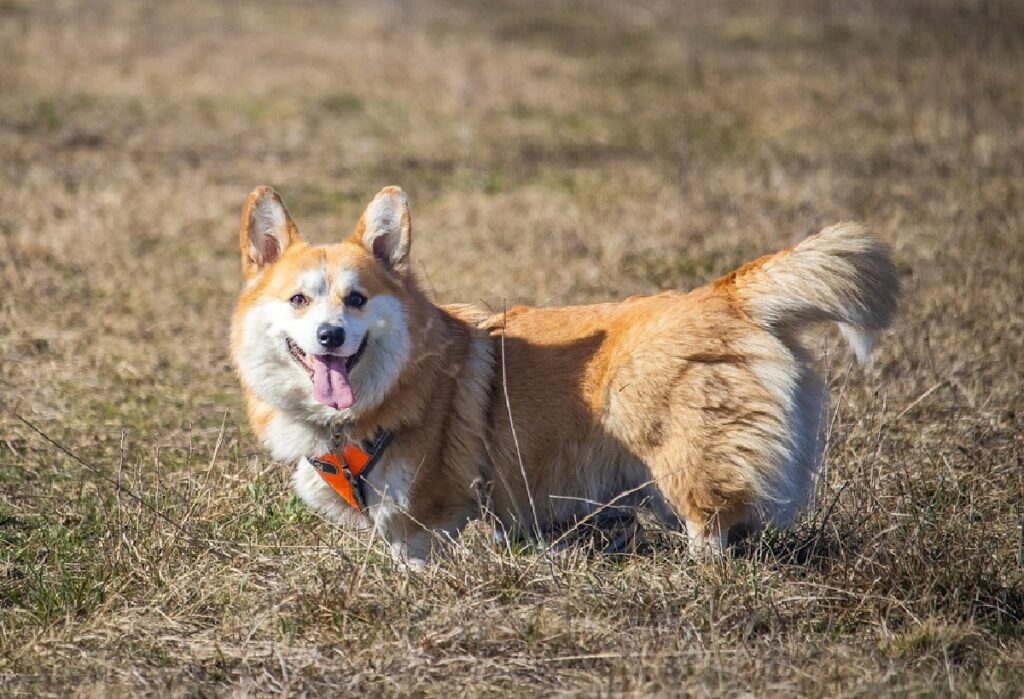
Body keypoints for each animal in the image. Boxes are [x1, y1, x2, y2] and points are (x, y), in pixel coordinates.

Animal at [230, 184, 897, 564]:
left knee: (711, 528)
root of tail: (727, 293)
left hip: (685, 461)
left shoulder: (424, 519)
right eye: (298, 300)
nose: (330, 337)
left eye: (357, 300)